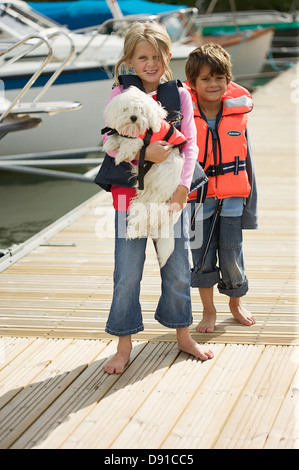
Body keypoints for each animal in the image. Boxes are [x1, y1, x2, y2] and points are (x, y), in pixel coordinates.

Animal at [104, 86, 186, 266]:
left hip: (152, 203)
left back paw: (132, 232)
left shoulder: (140, 141)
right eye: (125, 109)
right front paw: (110, 143)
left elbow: (131, 144)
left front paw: (121, 155)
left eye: (140, 110)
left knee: (143, 219)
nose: (133, 117)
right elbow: (117, 137)